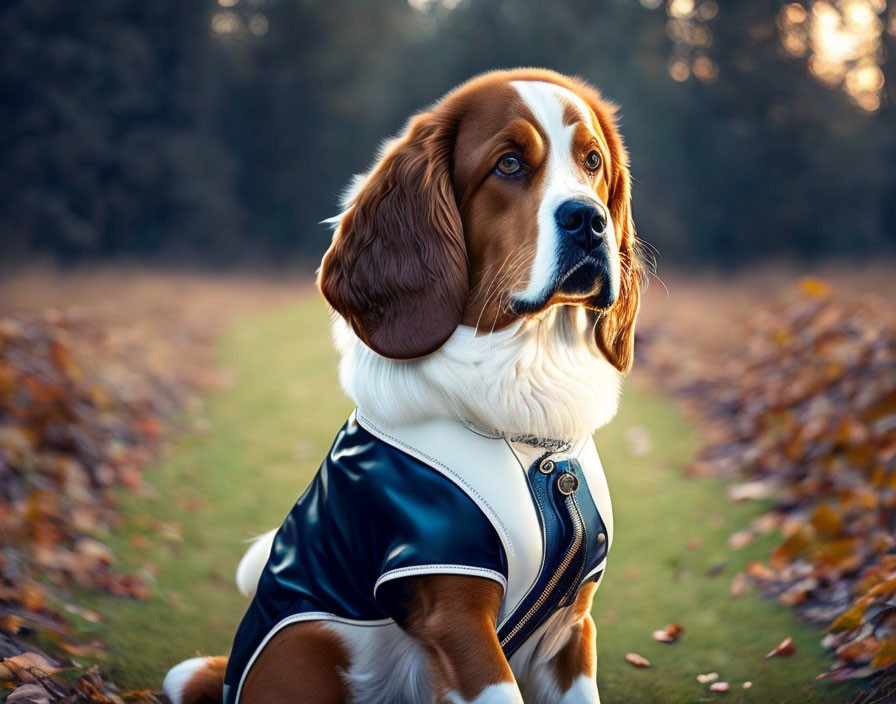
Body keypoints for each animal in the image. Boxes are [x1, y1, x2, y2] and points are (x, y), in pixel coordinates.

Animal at [164, 70, 640, 704]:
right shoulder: (457, 617)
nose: (589, 220)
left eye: (592, 162)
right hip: (305, 640)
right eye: (510, 163)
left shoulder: (571, 627)